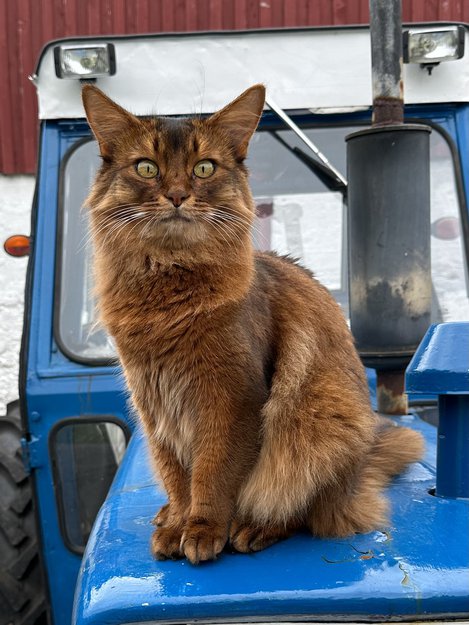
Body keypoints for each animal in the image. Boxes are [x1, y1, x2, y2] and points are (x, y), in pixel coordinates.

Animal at [82, 84, 424, 564]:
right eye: (146, 167)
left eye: (204, 167)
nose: (177, 195)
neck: (168, 288)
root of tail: (359, 472)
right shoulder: (152, 404)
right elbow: (176, 473)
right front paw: (178, 522)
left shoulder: (232, 396)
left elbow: (213, 471)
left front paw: (203, 529)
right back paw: (169, 515)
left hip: (322, 418)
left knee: (311, 509)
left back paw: (255, 527)